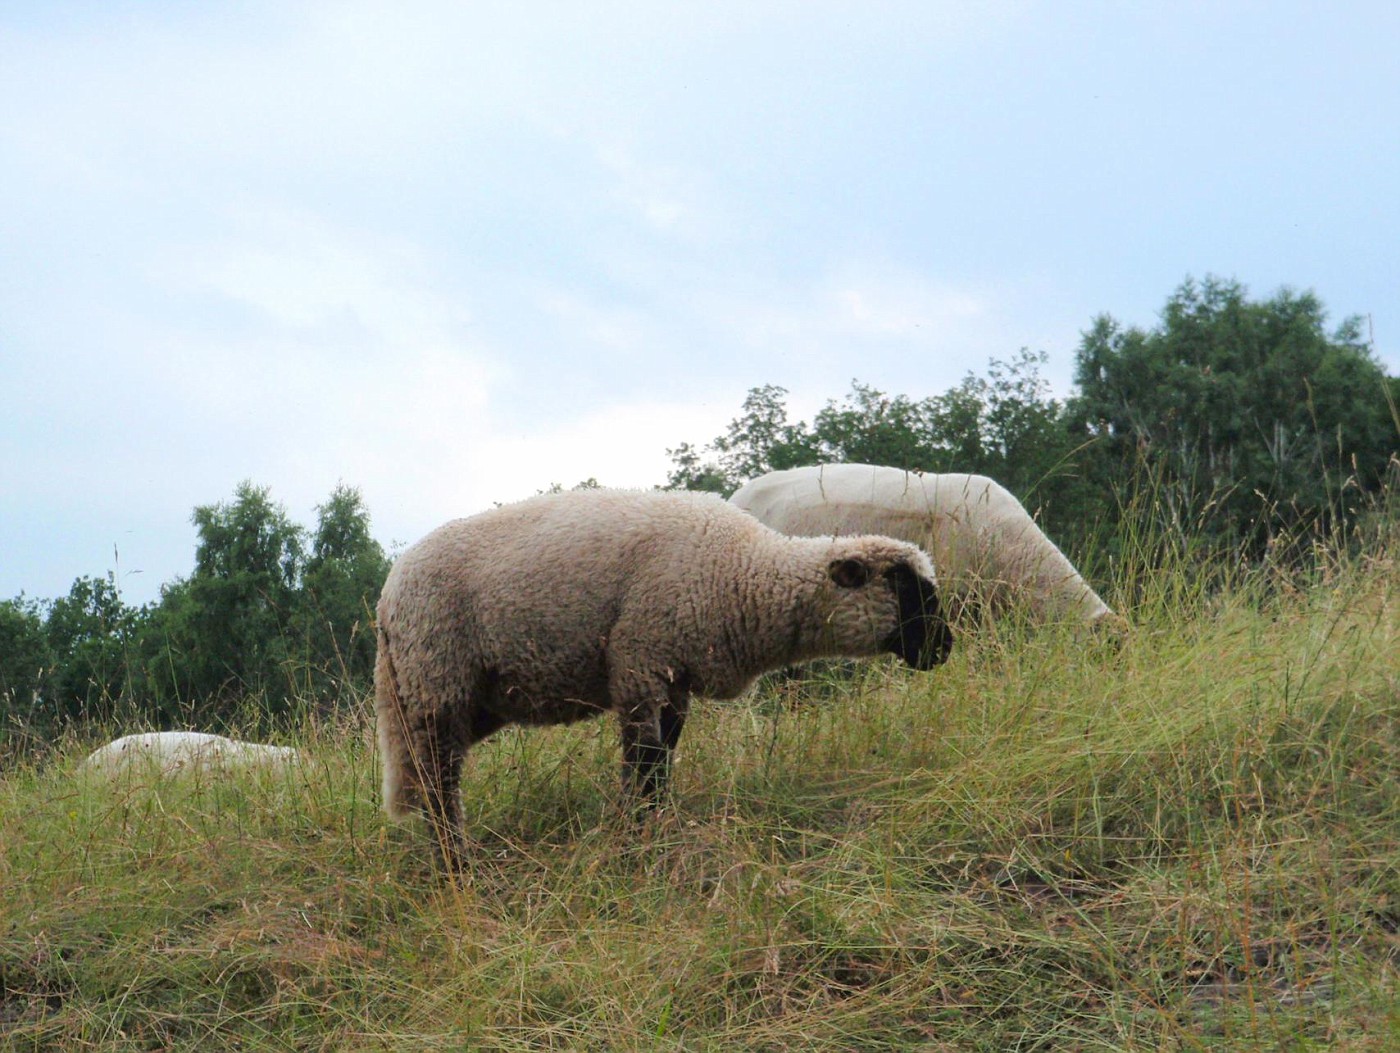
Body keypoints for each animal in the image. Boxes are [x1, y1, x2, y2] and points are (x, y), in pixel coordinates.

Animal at [372, 484, 952, 862]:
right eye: (907, 587)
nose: (944, 649)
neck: (742, 576)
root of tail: (387, 597)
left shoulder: (674, 678)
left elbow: (664, 758)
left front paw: (654, 826)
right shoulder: (640, 663)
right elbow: (646, 762)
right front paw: (638, 839)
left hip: (465, 697)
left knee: (429, 774)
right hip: (437, 678)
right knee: (440, 782)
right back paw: (457, 865)